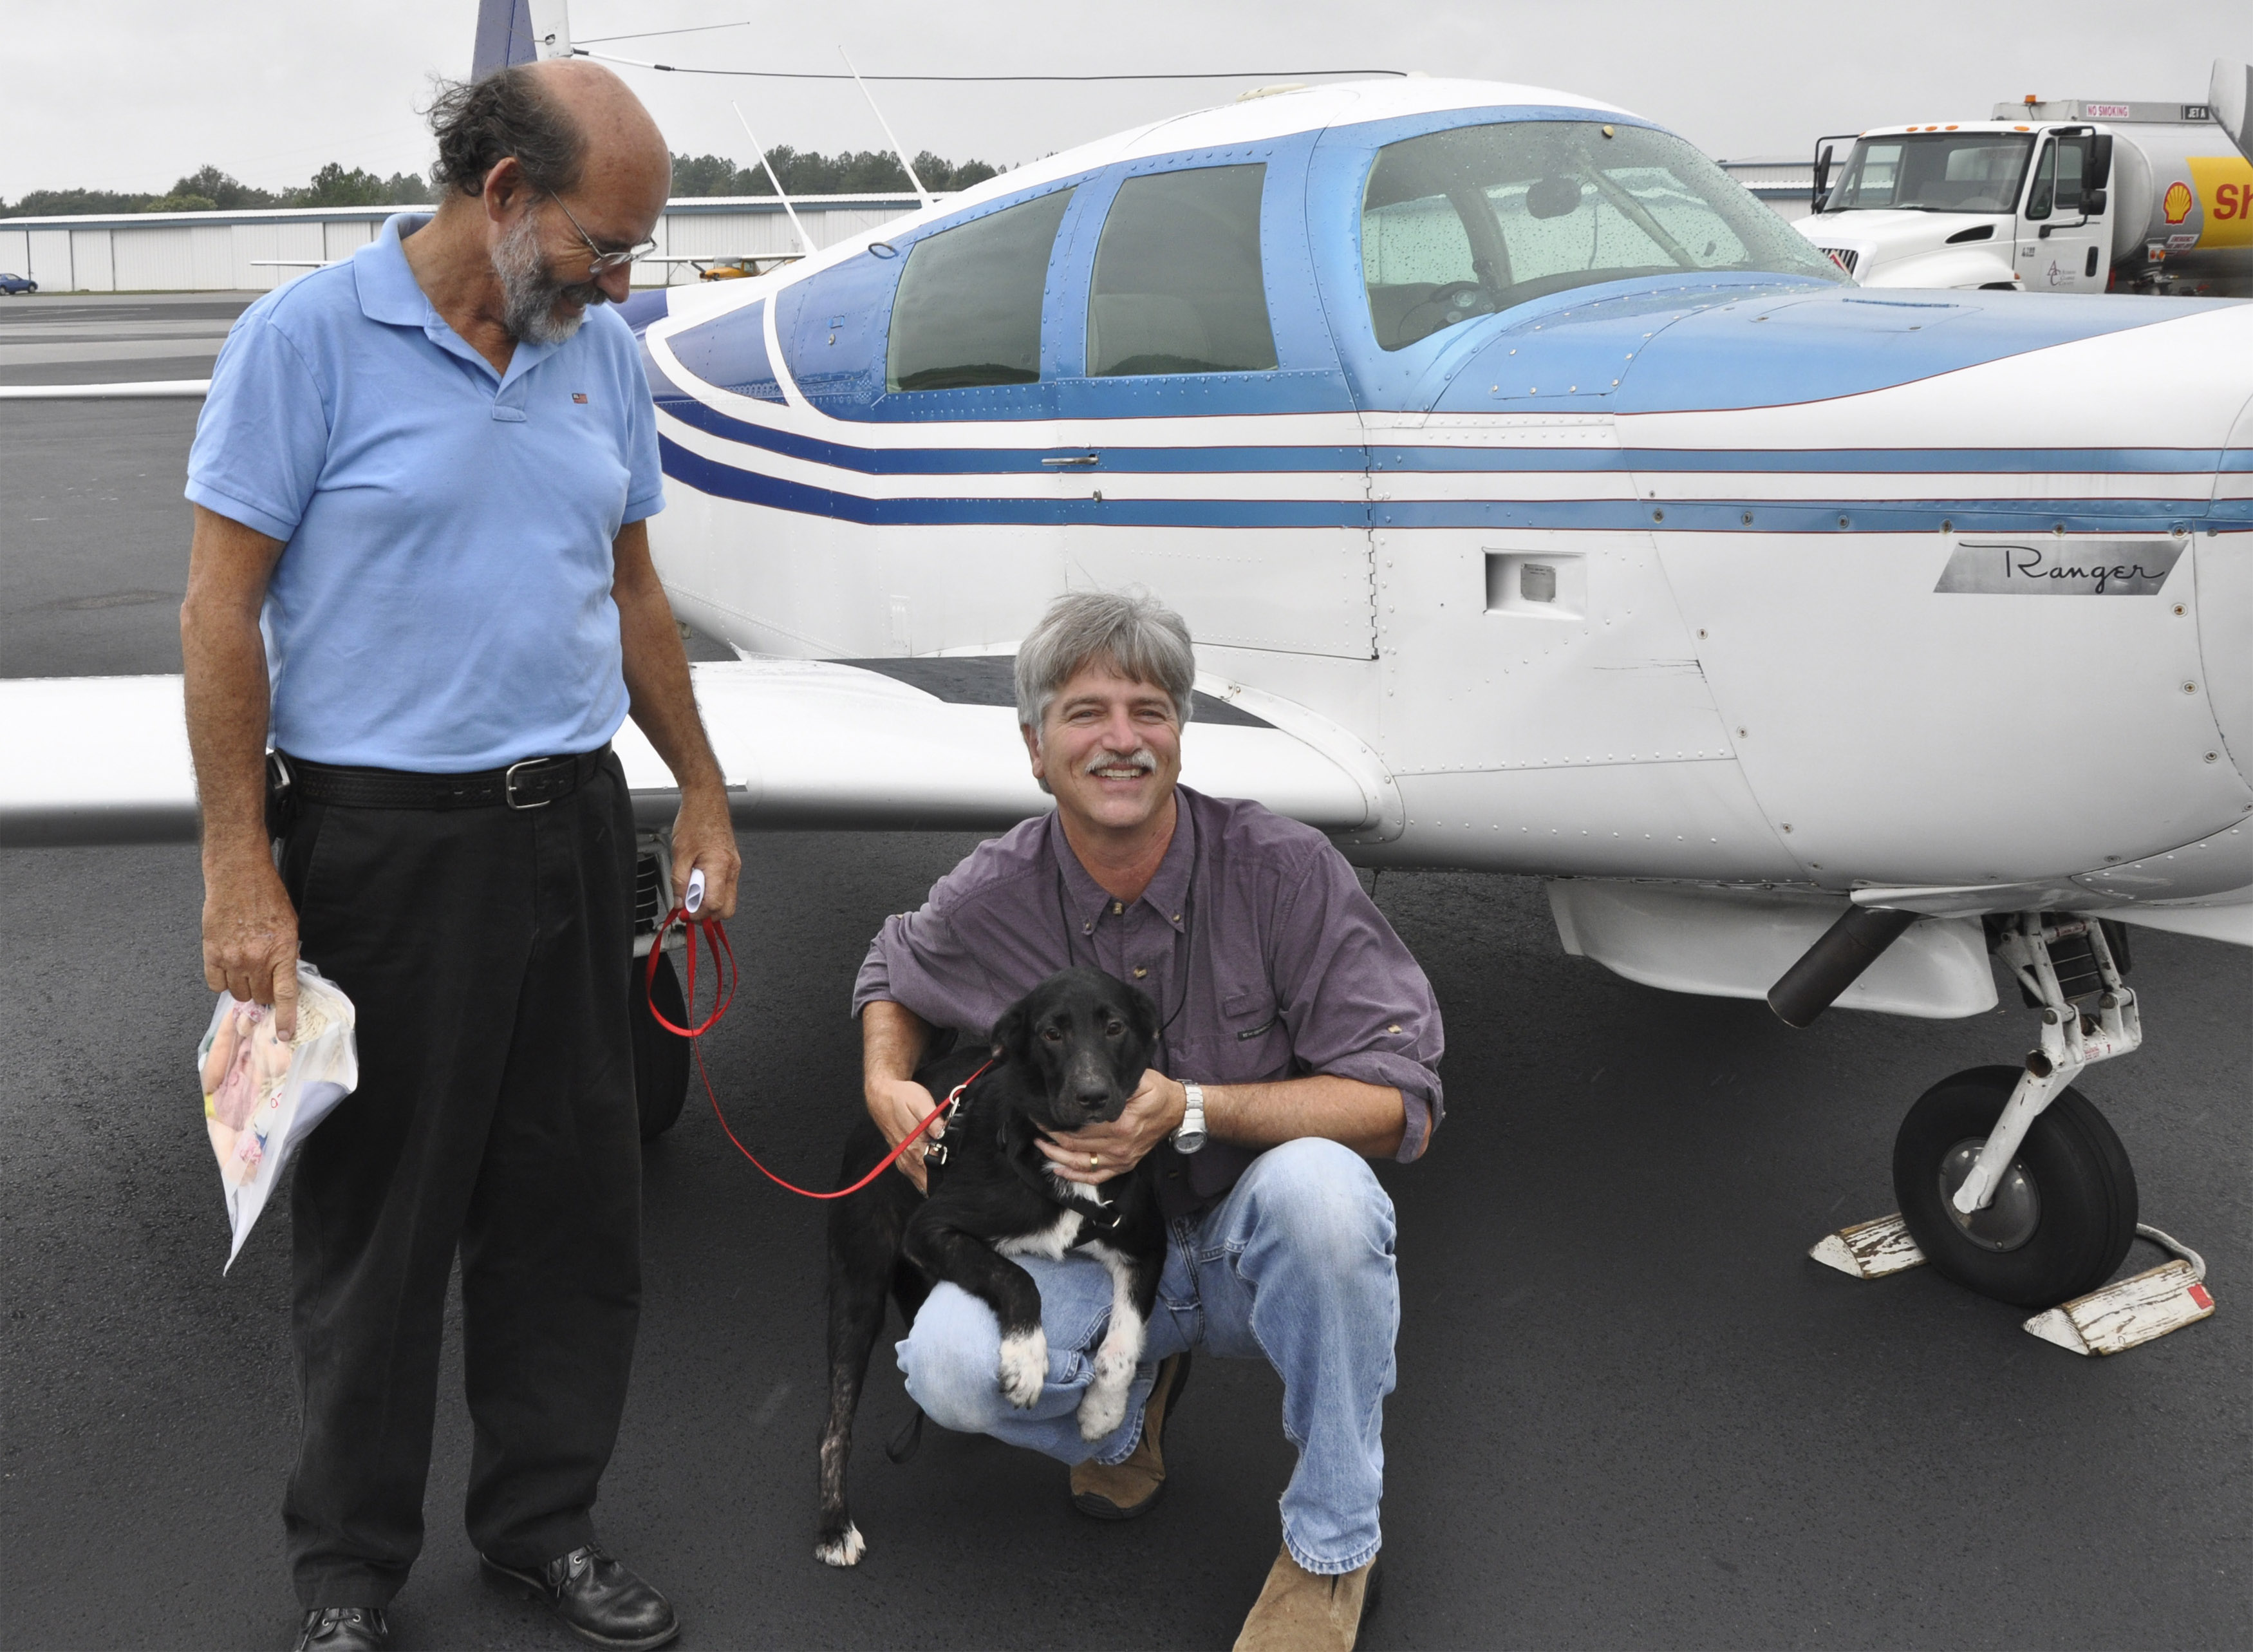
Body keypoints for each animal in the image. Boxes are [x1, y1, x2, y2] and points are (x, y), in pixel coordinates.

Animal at [816, 973, 1163, 1568]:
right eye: (1051, 1033)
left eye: (1115, 1027)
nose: (1093, 1096)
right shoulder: (931, 1229)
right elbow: (1016, 1277)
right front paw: (1026, 1359)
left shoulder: (1145, 1246)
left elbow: (1124, 1340)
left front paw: (1104, 1411)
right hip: (857, 1285)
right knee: (835, 1425)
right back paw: (835, 1525)